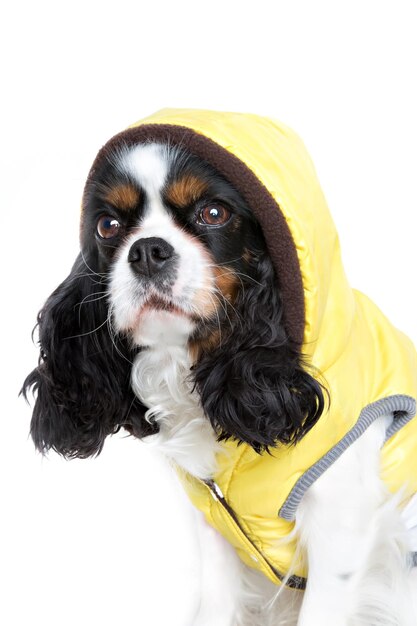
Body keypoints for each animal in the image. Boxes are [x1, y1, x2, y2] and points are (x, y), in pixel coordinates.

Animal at [22, 109, 416, 620]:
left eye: (214, 214)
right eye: (107, 225)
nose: (147, 250)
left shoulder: (342, 521)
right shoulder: (214, 522)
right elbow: (217, 599)